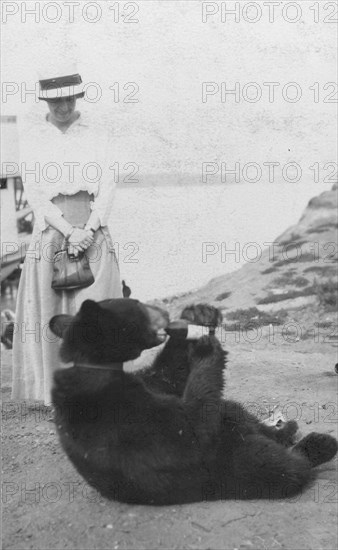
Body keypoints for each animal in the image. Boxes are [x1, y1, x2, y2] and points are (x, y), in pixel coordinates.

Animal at [50, 300, 338, 506]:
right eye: (139, 306)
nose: (165, 315)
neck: (94, 366)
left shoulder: (147, 384)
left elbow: (169, 375)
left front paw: (197, 316)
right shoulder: (117, 414)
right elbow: (188, 430)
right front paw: (205, 347)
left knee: (234, 411)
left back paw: (285, 429)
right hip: (228, 469)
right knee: (282, 469)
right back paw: (318, 444)